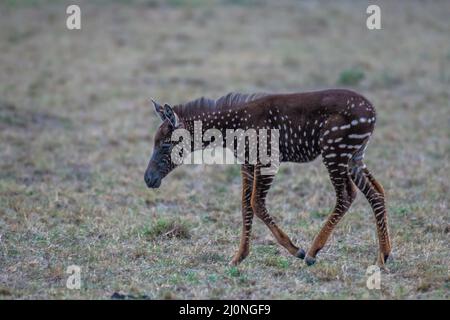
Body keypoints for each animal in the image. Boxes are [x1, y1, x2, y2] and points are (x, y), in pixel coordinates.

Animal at [144, 89, 390, 268]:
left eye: (165, 144)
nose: (148, 179)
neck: (231, 128)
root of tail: (373, 113)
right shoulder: (247, 164)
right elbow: (246, 207)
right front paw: (239, 256)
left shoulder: (267, 160)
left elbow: (256, 204)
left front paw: (295, 249)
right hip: (354, 157)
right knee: (377, 192)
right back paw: (384, 255)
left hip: (335, 152)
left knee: (347, 195)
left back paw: (312, 252)